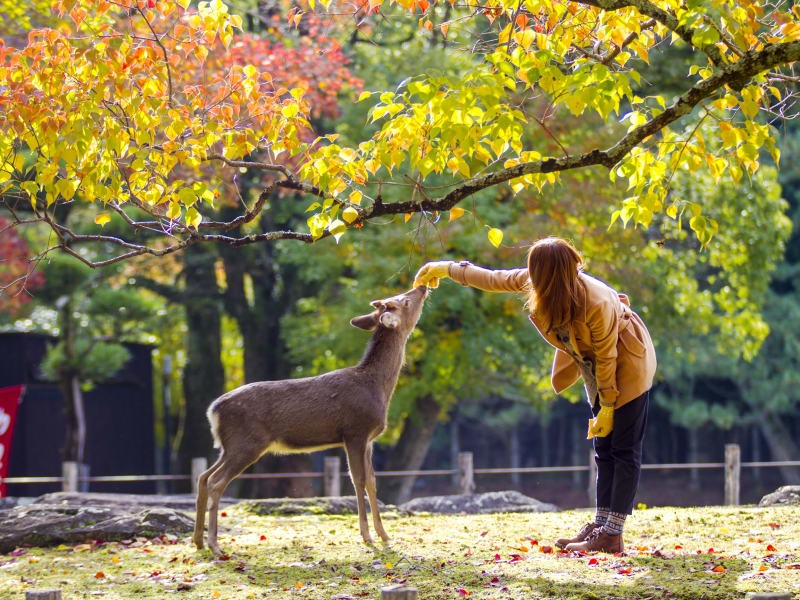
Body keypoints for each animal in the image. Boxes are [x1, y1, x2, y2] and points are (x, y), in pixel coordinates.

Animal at [193, 284, 428, 556]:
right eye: (405, 301)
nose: (422, 287)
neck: (378, 388)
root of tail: (213, 410)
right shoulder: (355, 431)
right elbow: (357, 480)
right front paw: (367, 536)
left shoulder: (369, 439)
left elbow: (372, 482)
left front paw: (384, 535)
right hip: (247, 442)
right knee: (216, 482)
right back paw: (215, 545)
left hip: (229, 445)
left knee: (203, 477)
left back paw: (198, 541)